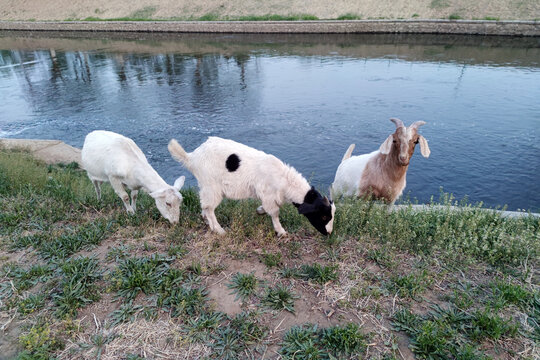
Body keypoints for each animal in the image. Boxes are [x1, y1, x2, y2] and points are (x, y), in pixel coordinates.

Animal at [167, 136, 336, 236]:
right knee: (209, 208)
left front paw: (260, 211)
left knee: (204, 205)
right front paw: (281, 231)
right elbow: (275, 213)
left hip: (206, 186)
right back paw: (219, 230)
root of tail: (192, 157)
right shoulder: (268, 195)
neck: (284, 179)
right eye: (323, 216)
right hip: (212, 186)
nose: (329, 233)